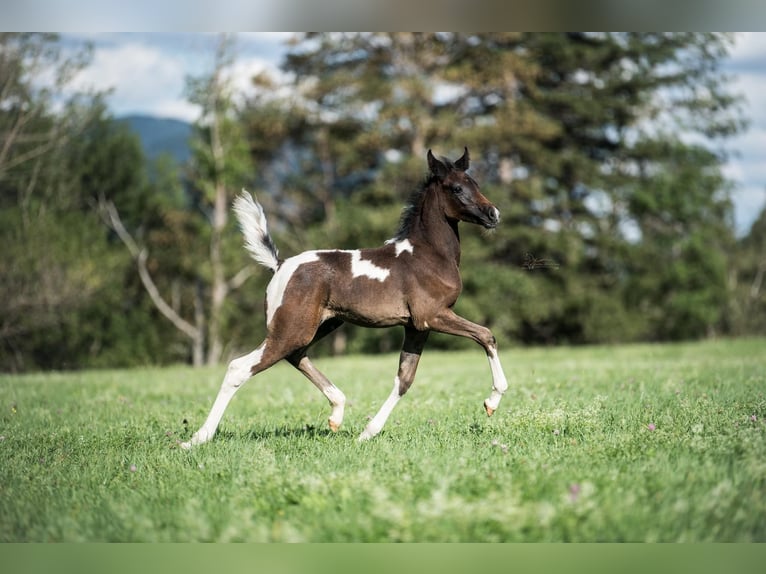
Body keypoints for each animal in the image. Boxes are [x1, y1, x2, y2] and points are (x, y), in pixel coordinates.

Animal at [182, 148, 510, 450]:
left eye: (474, 182)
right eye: (456, 188)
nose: (493, 214)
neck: (427, 255)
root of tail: (280, 264)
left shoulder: (416, 326)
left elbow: (404, 379)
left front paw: (367, 433)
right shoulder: (433, 316)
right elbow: (486, 335)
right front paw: (492, 401)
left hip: (319, 325)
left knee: (296, 356)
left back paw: (337, 412)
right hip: (291, 329)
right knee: (240, 367)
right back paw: (197, 438)